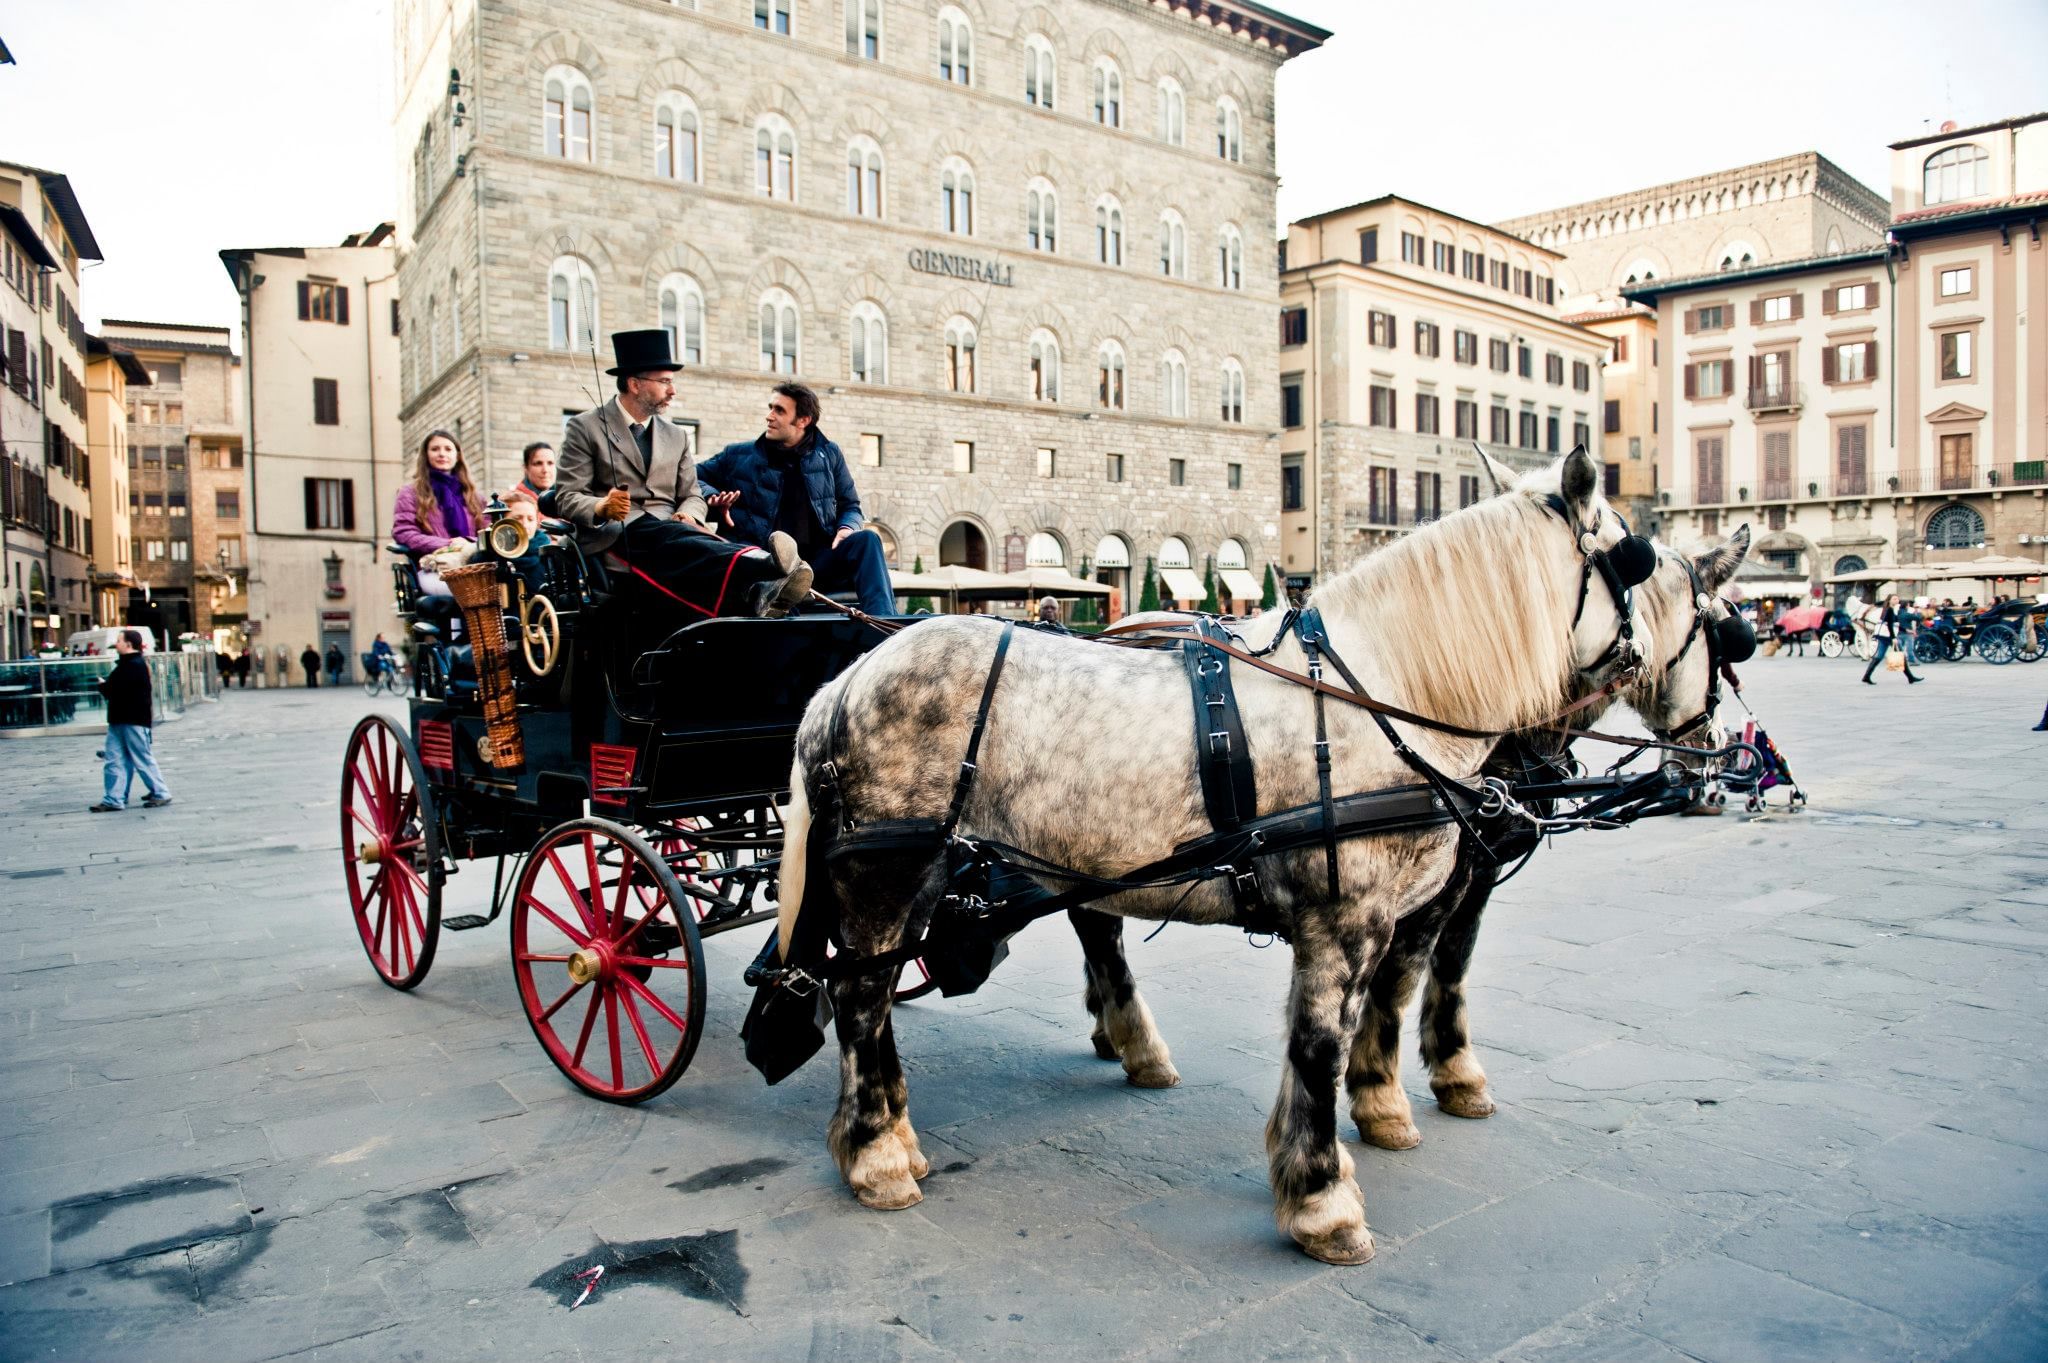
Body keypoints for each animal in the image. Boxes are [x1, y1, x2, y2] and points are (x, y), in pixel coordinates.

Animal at [777, 446, 1665, 1263]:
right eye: (1636, 561)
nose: (1649, 655)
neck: (1381, 689)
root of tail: (844, 683)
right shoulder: (1345, 921)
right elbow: (1321, 1046)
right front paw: (1324, 1200)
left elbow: (1345, 1030)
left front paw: (1326, 1159)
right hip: (887, 873)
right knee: (859, 999)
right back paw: (876, 1155)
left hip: (925, 873)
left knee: (886, 986)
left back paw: (900, 1129)